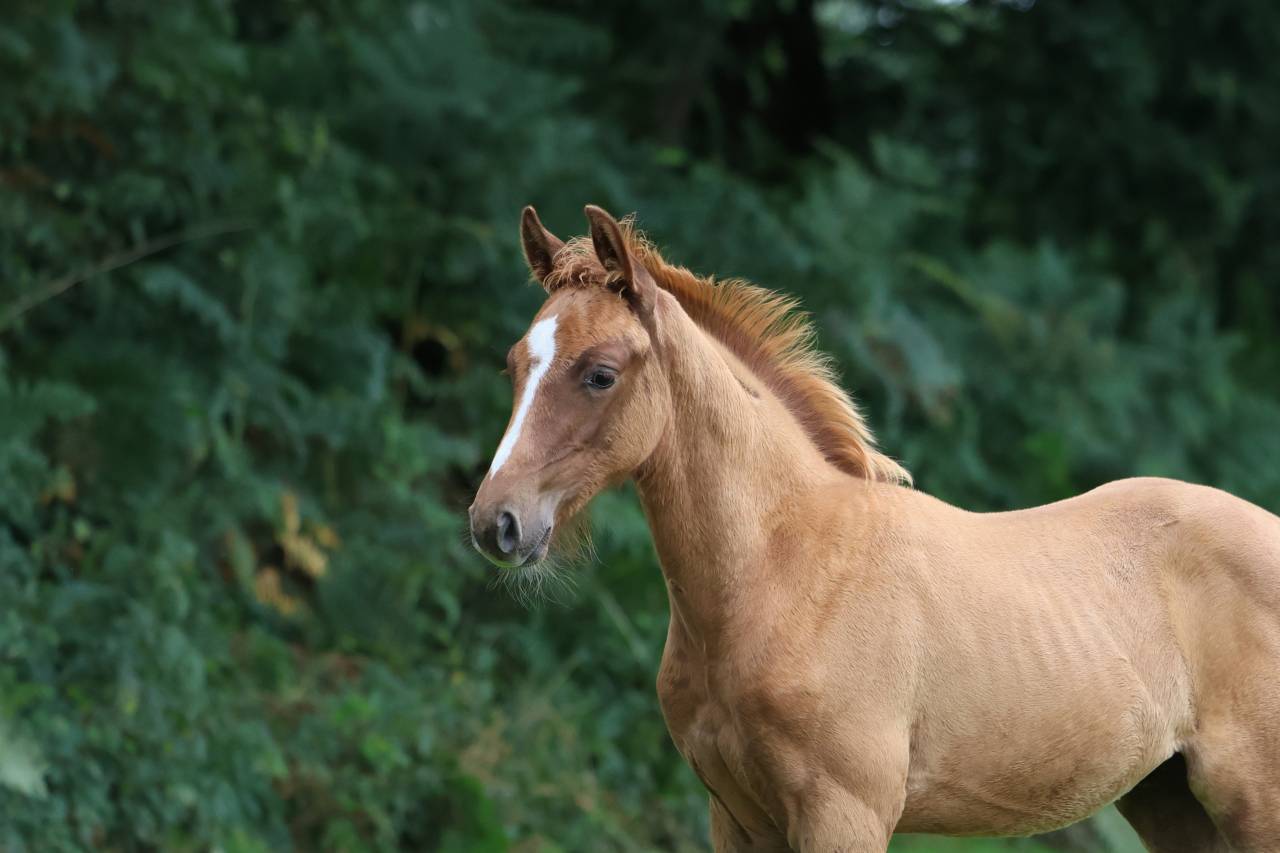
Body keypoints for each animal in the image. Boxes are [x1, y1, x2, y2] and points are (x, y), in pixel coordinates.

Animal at [468, 204, 1280, 852]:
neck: (780, 569)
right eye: (513, 364)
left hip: (1252, 799)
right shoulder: (736, 818)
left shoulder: (843, 814)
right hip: (1169, 799)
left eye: (600, 373)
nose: (495, 522)